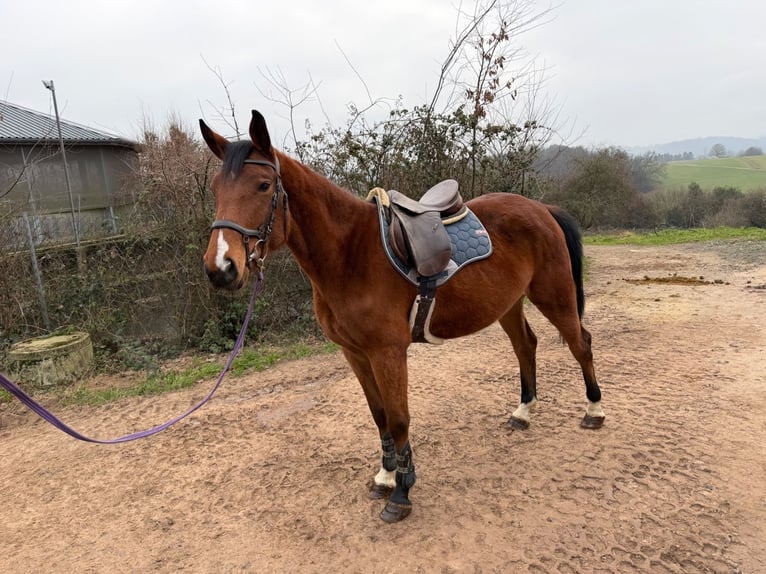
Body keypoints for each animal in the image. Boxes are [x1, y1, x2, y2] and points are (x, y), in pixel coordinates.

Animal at [199, 110, 605, 523]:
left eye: (264, 185)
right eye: (216, 189)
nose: (221, 268)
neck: (349, 254)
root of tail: (543, 209)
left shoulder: (388, 353)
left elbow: (398, 419)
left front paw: (402, 493)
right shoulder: (355, 353)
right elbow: (379, 415)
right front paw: (385, 476)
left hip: (554, 296)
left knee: (580, 343)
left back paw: (593, 410)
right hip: (508, 304)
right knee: (526, 345)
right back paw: (523, 413)